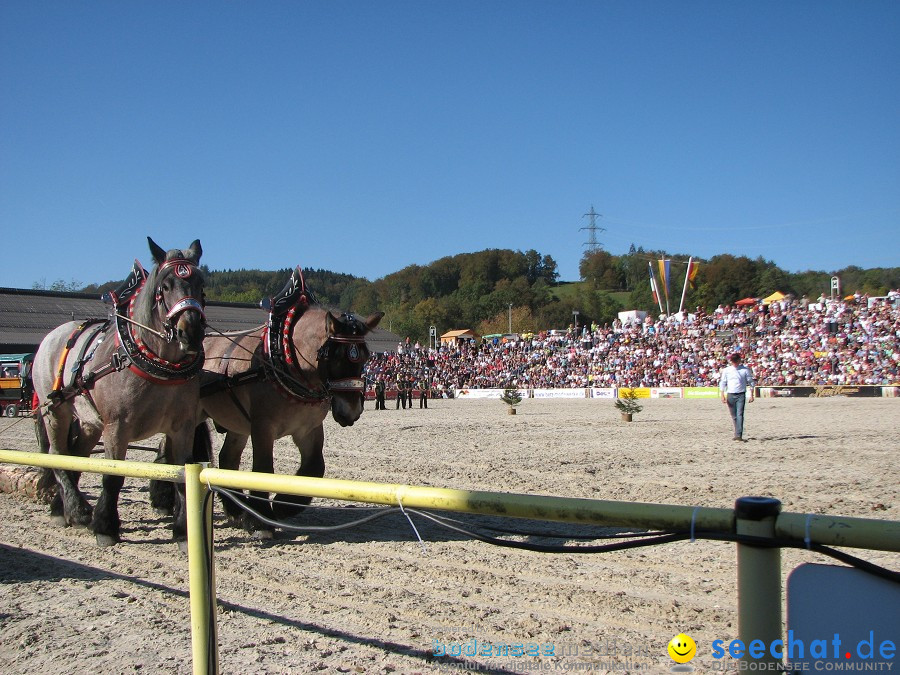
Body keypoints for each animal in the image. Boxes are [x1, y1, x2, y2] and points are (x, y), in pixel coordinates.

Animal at [32, 240, 206, 548]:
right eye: (165, 286)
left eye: (201, 284)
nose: (191, 331)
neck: (160, 366)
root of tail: (52, 336)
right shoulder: (117, 427)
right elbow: (113, 477)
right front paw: (106, 527)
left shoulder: (182, 427)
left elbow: (181, 475)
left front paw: (183, 531)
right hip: (56, 411)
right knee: (57, 454)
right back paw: (77, 510)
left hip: (90, 422)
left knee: (75, 456)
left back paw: (60, 508)